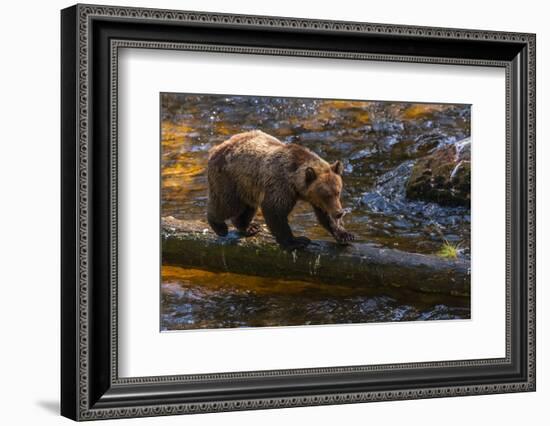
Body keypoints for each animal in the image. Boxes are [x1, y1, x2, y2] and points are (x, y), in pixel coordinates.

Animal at [208, 131, 358, 250]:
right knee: (227, 204)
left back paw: (249, 227)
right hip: (230, 178)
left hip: (248, 187)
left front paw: (345, 235)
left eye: (338, 192)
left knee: (248, 207)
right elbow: (275, 211)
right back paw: (219, 226)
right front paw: (297, 241)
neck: (295, 183)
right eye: (325, 194)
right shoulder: (280, 184)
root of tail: (216, 148)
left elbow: (325, 215)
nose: (339, 213)